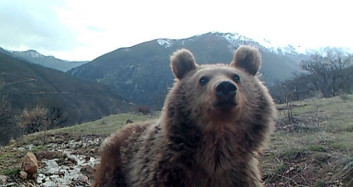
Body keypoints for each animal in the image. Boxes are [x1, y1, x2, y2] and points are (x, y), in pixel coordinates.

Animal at [92, 45, 276, 187]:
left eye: (236, 77)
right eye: (203, 79)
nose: (225, 87)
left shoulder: (239, 174)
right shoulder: (165, 173)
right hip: (115, 167)